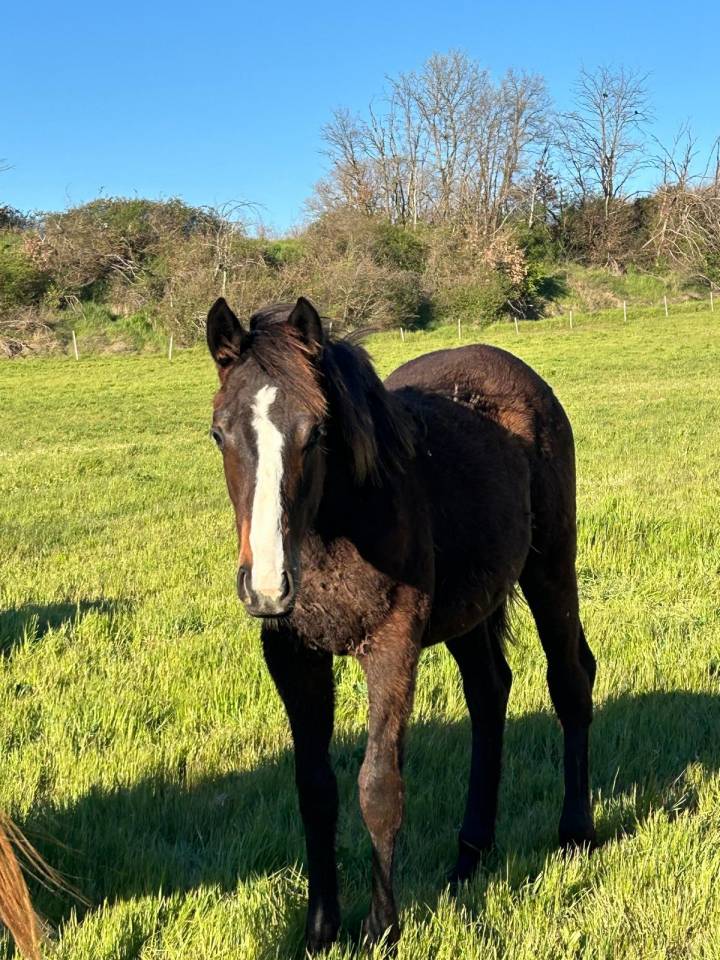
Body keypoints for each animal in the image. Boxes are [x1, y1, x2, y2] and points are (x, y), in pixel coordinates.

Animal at [206, 296, 596, 952]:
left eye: (317, 433)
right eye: (219, 433)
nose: (266, 586)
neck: (334, 528)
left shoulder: (391, 645)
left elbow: (378, 786)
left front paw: (380, 929)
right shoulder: (293, 656)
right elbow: (315, 788)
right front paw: (319, 931)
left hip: (550, 568)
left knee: (570, 680)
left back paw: (577, 833)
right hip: (469, 606)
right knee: (489, 692)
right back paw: (469, 856)